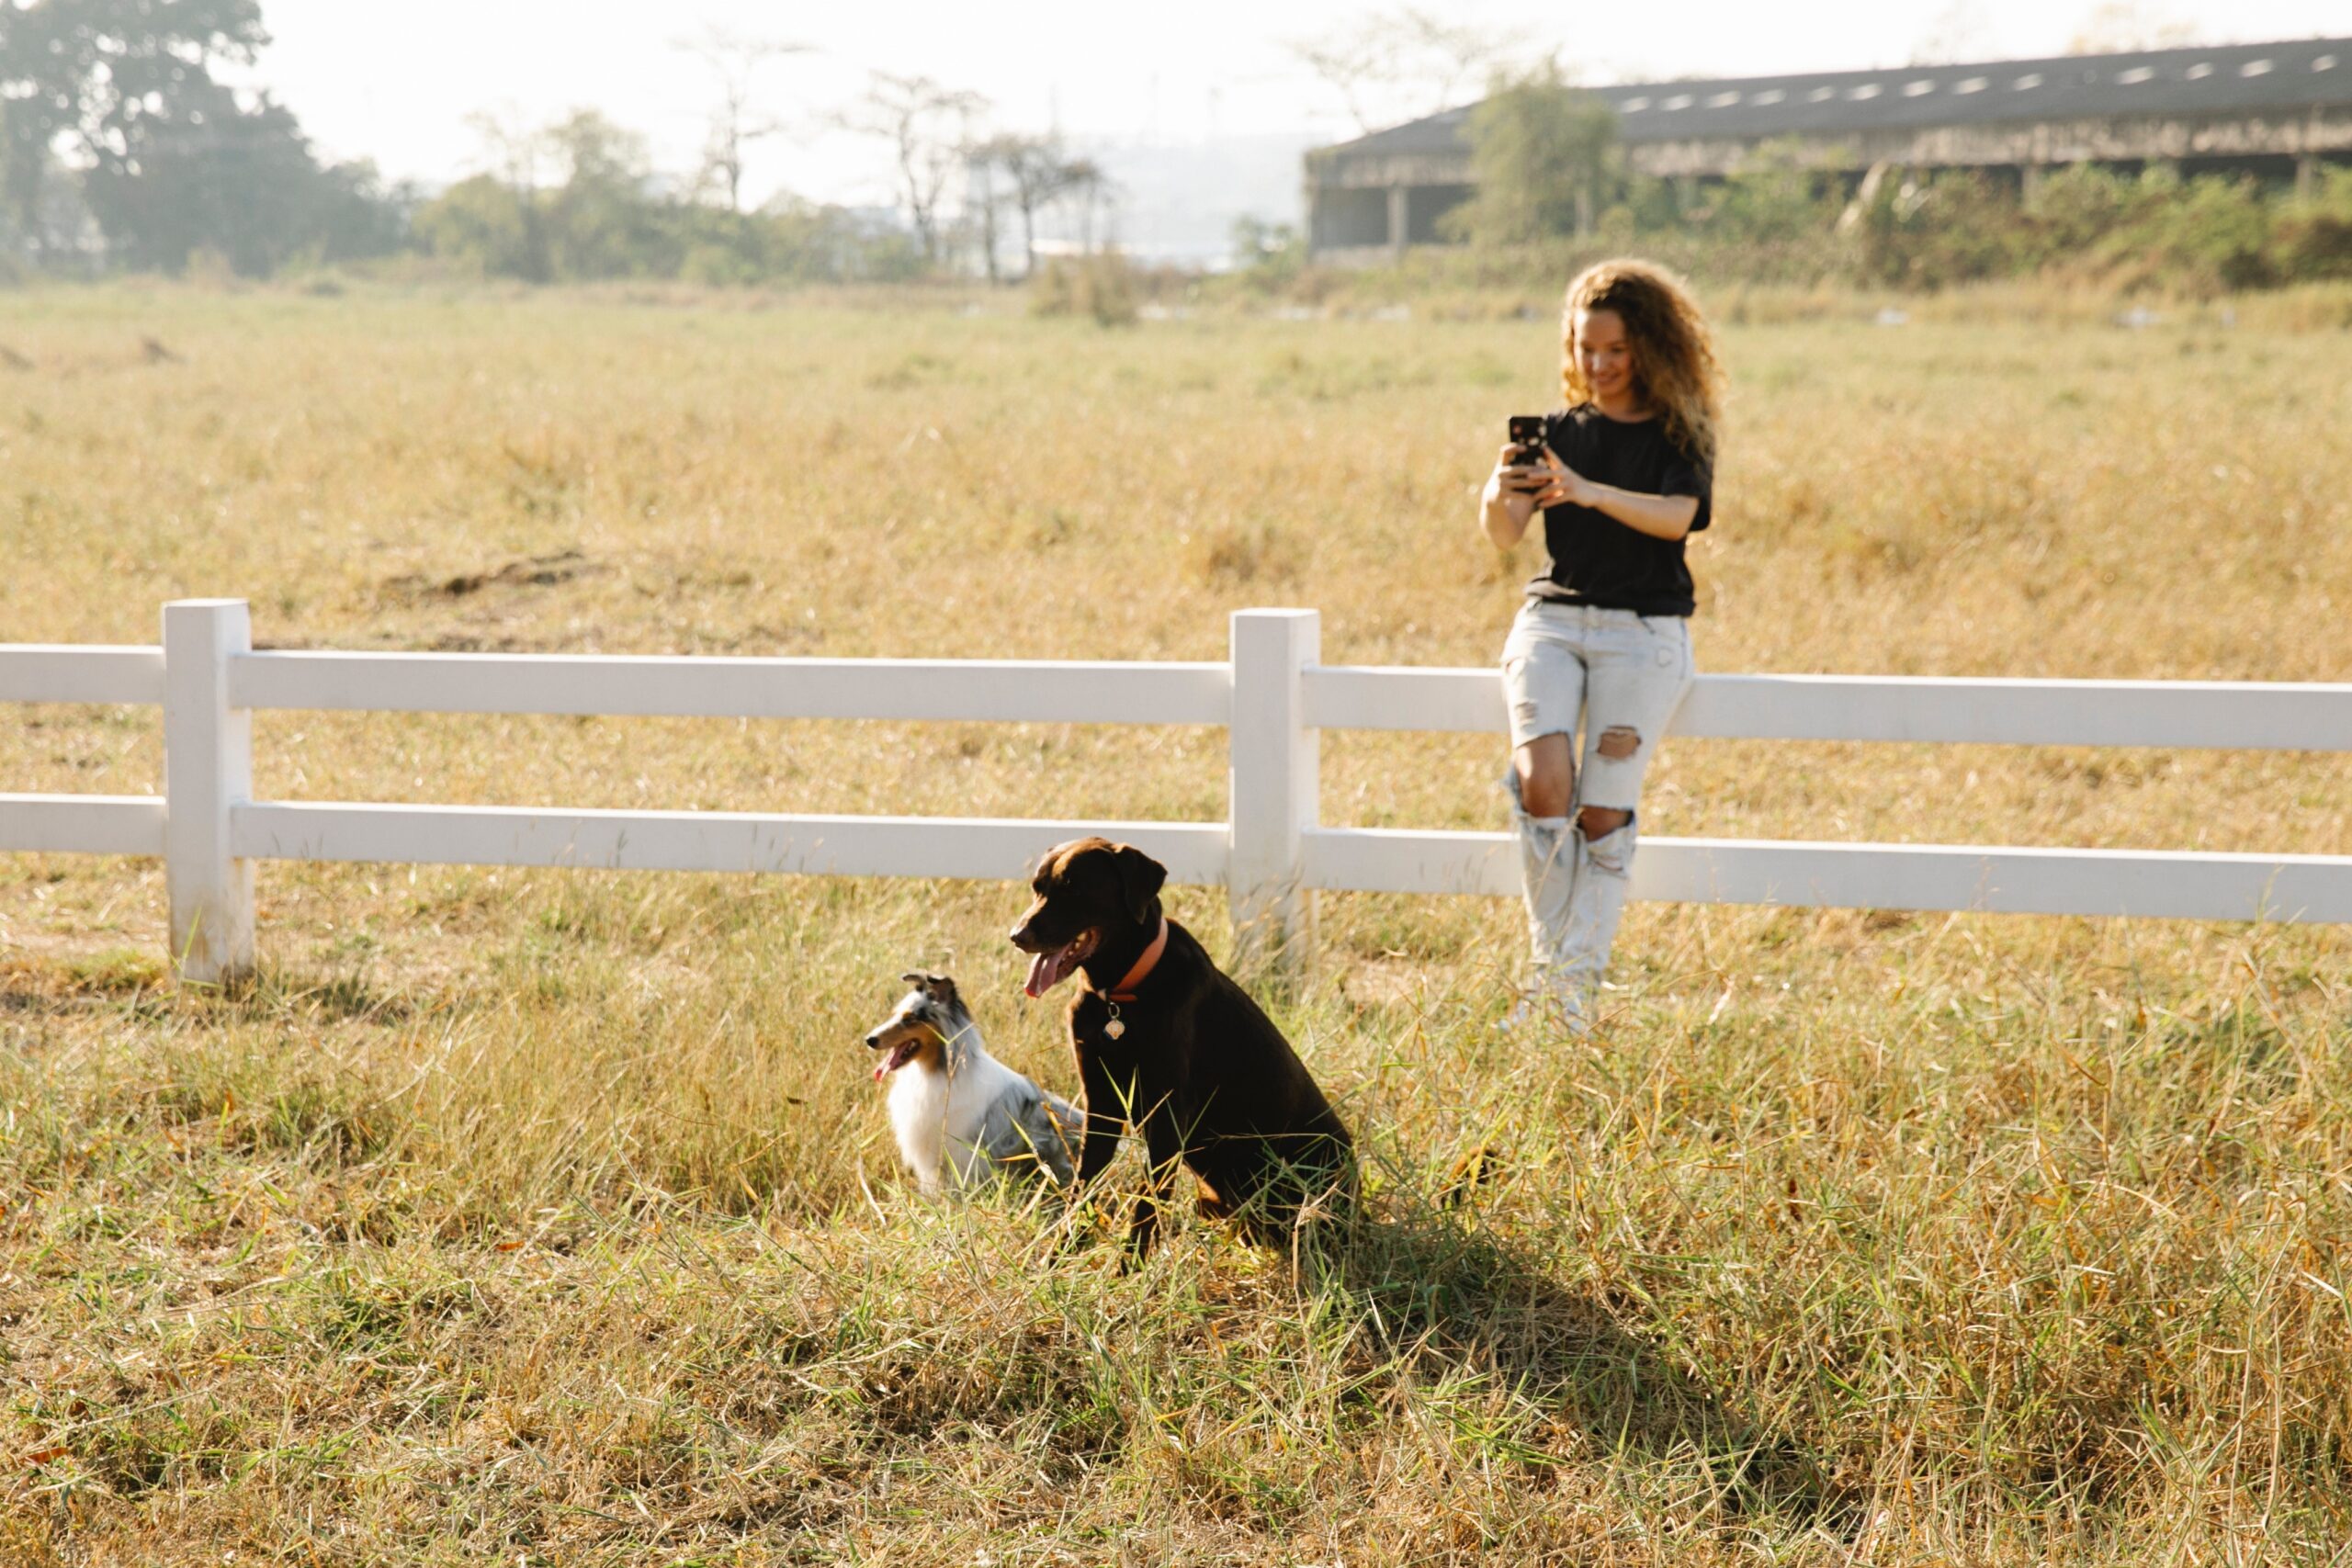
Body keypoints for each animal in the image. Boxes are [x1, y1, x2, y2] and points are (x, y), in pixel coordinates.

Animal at [1001, 841, 1354, 1259]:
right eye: (1037, 888)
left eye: (1074, 888)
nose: (1017, 935)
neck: (1118, 1000)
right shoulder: (1101, 1103)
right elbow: (1083, 1189)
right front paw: (1059, 1259)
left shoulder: (1167, 1112)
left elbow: (1146, 1204)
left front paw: (1129, 1270)